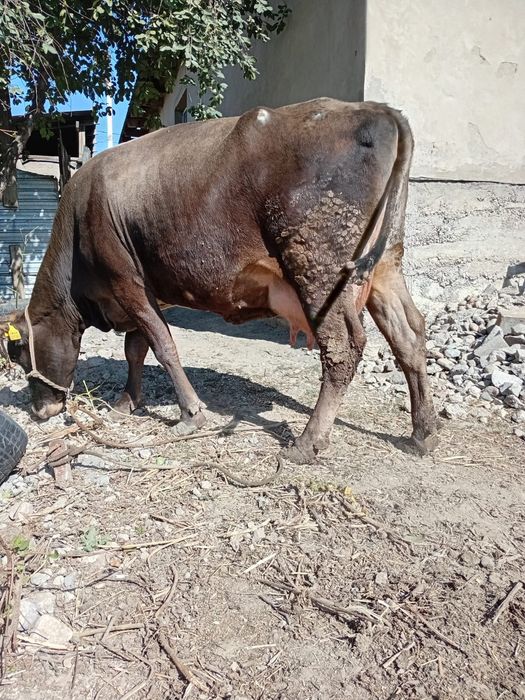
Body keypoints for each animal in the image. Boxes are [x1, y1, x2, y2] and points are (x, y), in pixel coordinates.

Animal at [4, 98, 438, 464]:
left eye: (18, 351)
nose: (39, 411)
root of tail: (377, 109)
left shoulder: (126, 280)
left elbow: (163, 346)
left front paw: (190, 414)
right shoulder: (145, 288)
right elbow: (136, 348)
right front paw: (128, 401)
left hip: (319, 266)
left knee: (343, 348)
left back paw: (307, 442)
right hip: (385, 266)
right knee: (409, 334)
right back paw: (422, 433)